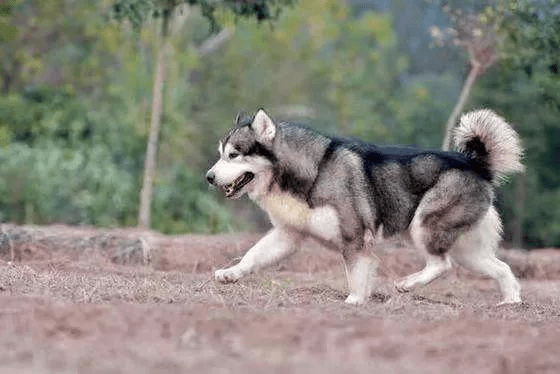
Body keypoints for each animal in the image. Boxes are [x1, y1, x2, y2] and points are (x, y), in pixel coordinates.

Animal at [207, 107, 524, 304]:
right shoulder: (287, 235)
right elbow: (252, 256)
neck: (313, 172)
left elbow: (356, 276)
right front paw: (231, 274)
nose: (208, 177)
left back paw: (407, 284)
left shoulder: (354, 238)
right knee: (502, 268)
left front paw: (354, 302)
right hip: (467, 251)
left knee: (441, 265)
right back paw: (510, 304)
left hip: (423, 226)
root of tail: (475, 163)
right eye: (220, 154)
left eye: (234, 155)